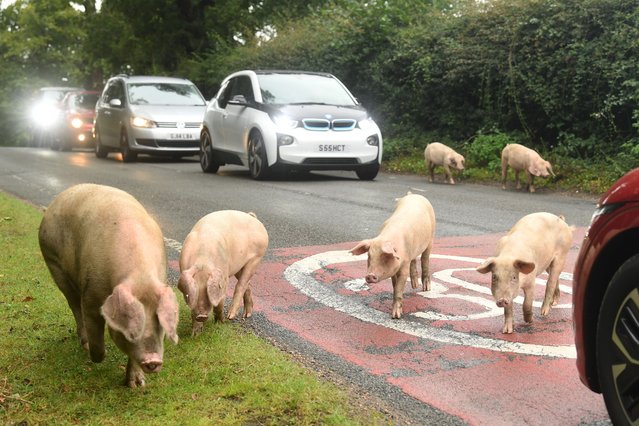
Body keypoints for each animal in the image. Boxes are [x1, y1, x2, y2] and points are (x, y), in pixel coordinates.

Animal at [38, 184, 179, 390]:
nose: (153, 360)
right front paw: (95, 356)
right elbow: (95, 332)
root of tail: (53, 204)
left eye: (159, 321)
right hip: (52, 261)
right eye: (131, 325)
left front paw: (137, 385)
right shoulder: (91, 297)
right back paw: (84, 344)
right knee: (74, 305)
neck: (139, 276)